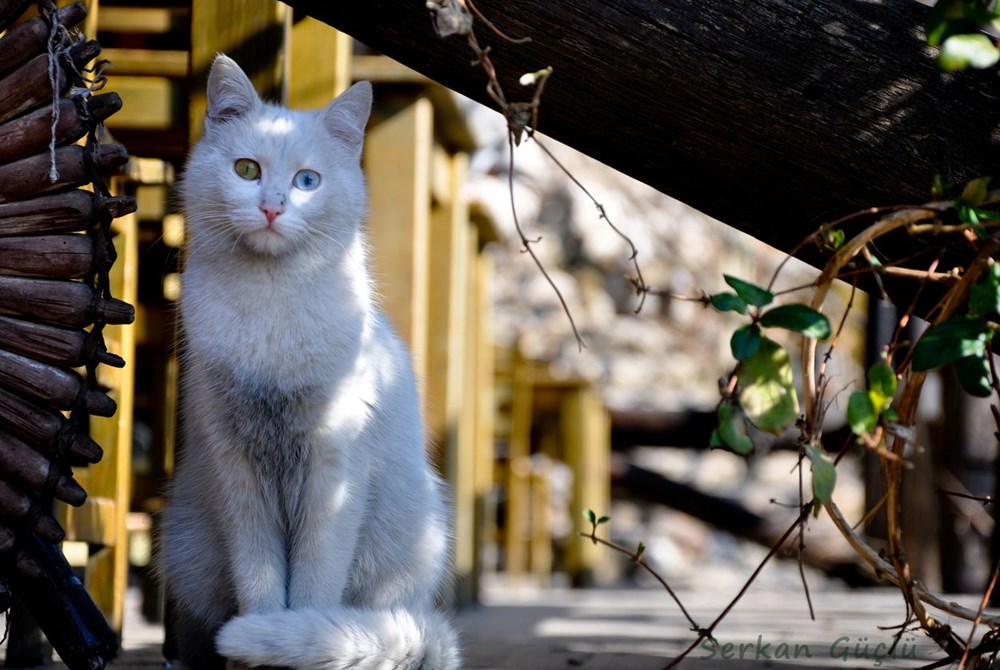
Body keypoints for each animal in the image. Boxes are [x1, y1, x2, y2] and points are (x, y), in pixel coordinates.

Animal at [159, 55, 460, 670]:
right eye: (247, 169)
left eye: (307, 181)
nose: (273, 206)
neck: (270, 314)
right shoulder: (239, 469)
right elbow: (260, 583)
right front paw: (254, 649)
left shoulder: (333, 471)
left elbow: (314, 589)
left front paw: (298, 641)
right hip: (189, 550)